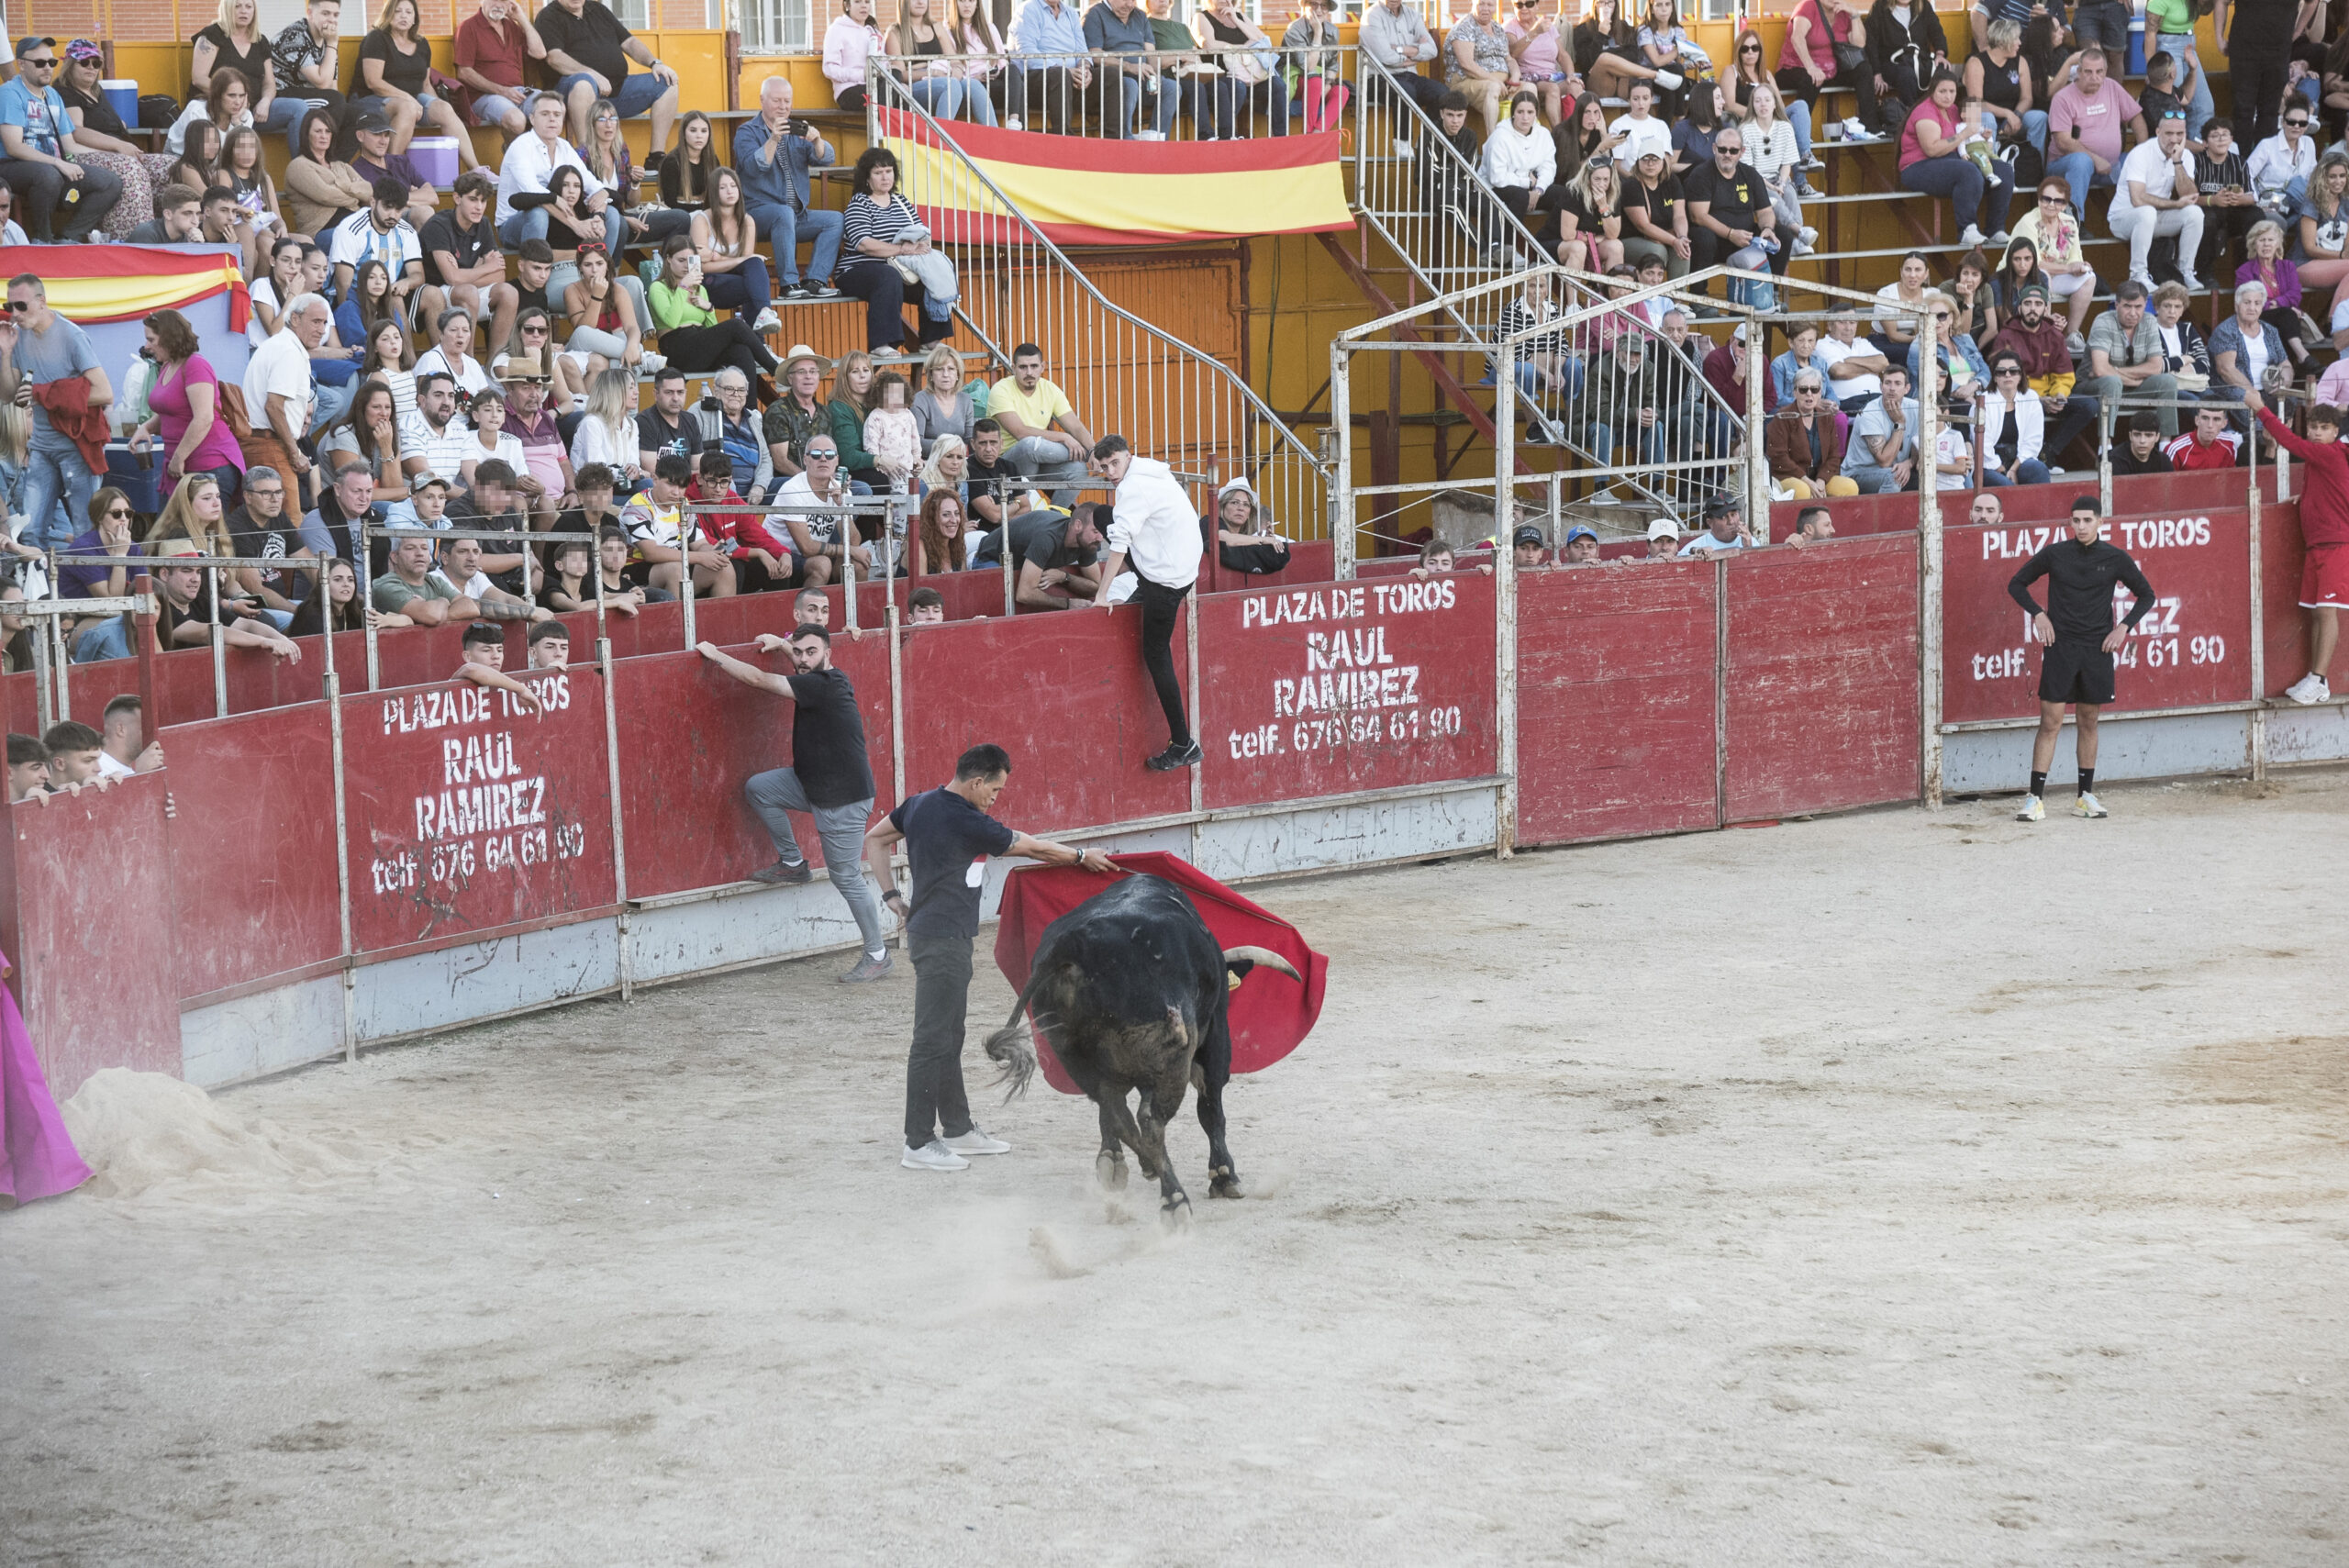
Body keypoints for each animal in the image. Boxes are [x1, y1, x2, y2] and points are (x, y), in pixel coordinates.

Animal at [976, 877, 1306, 1220]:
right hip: (1172, 1051)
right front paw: (1224, 1176)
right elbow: (1211, 1108)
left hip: (1074, 1055)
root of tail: (1074, 943)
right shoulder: (1214, 1041)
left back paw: (1135, 1165)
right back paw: (1175, 1199)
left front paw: (1118, 1161)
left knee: (1115, 1110)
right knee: (1150, 1119)